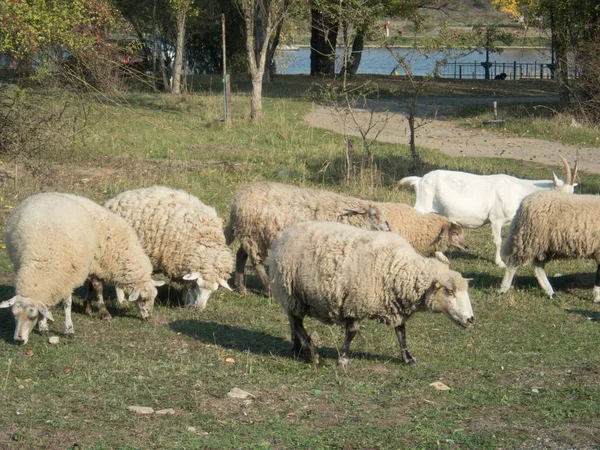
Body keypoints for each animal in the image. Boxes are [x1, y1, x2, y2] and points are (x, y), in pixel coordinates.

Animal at [102, 185, 233, 310]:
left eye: (212, 291)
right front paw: (188, 302)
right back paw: (121, 301)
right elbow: (188, 286)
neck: (205, 237)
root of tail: (112, 201)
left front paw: (186, 301)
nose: (199, 309)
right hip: (121, 251)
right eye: (197, 286)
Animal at [224, 181, 390, 294]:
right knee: (256, 261)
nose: (388, 227)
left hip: (250, 234)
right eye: (373, 215)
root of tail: (238, 197)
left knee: (241, 254)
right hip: (253, 235)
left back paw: (241, 287)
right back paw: (268, 289)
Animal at [270, 221, 474, 366]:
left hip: (295, 297)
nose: (471, 319)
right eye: (449, 291)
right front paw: (343, 359)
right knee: (296, 321)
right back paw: (311, 353)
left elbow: (401, 332)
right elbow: (352, 332)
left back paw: (297, 349)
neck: (398, 268)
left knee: (293, 320)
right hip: (291, 292)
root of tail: (284, 234)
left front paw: (408, 358)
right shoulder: (355, 303)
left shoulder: (396, 305)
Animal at [398, 155, 576, 268]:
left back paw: (443, 258)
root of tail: (419, 180)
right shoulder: (496, 219)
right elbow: (497, 241)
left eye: (573, 193)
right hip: (423, 206)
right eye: (561, 194)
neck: (518, 190)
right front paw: (500, 263)